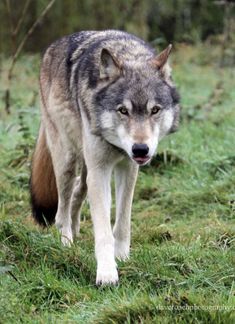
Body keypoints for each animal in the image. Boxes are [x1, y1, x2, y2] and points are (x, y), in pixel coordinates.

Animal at [29, 29, 180, 284]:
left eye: (155, 110)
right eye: (123, 110)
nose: (141, 149)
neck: (127, 53)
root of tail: (52, 47)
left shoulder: (128, 169)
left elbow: (122, 223)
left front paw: (123, 257)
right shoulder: (100, 171)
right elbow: (103, 231)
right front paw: (107, 273)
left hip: (86, 168)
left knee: (79, 190)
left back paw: (76, 230)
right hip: (67, 161)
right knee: (62, 209)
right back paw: (66, 244)